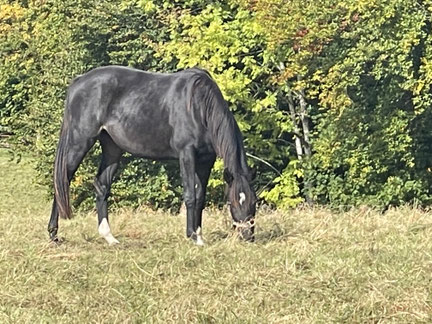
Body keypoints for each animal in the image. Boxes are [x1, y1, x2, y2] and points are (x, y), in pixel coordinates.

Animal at [47, 66, 256, 244]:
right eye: (233, 202)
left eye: (253, 201)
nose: (248, 236)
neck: (199, 106)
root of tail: (78, 82)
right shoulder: (187, 154)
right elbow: (190, 195)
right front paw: (192, 237)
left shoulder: (206, 160)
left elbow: (200, 197)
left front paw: (199, 235)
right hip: (80, 142)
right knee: (63, 181)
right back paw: (53, 235)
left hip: (112, 148)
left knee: (102, 186)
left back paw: (109, 237)